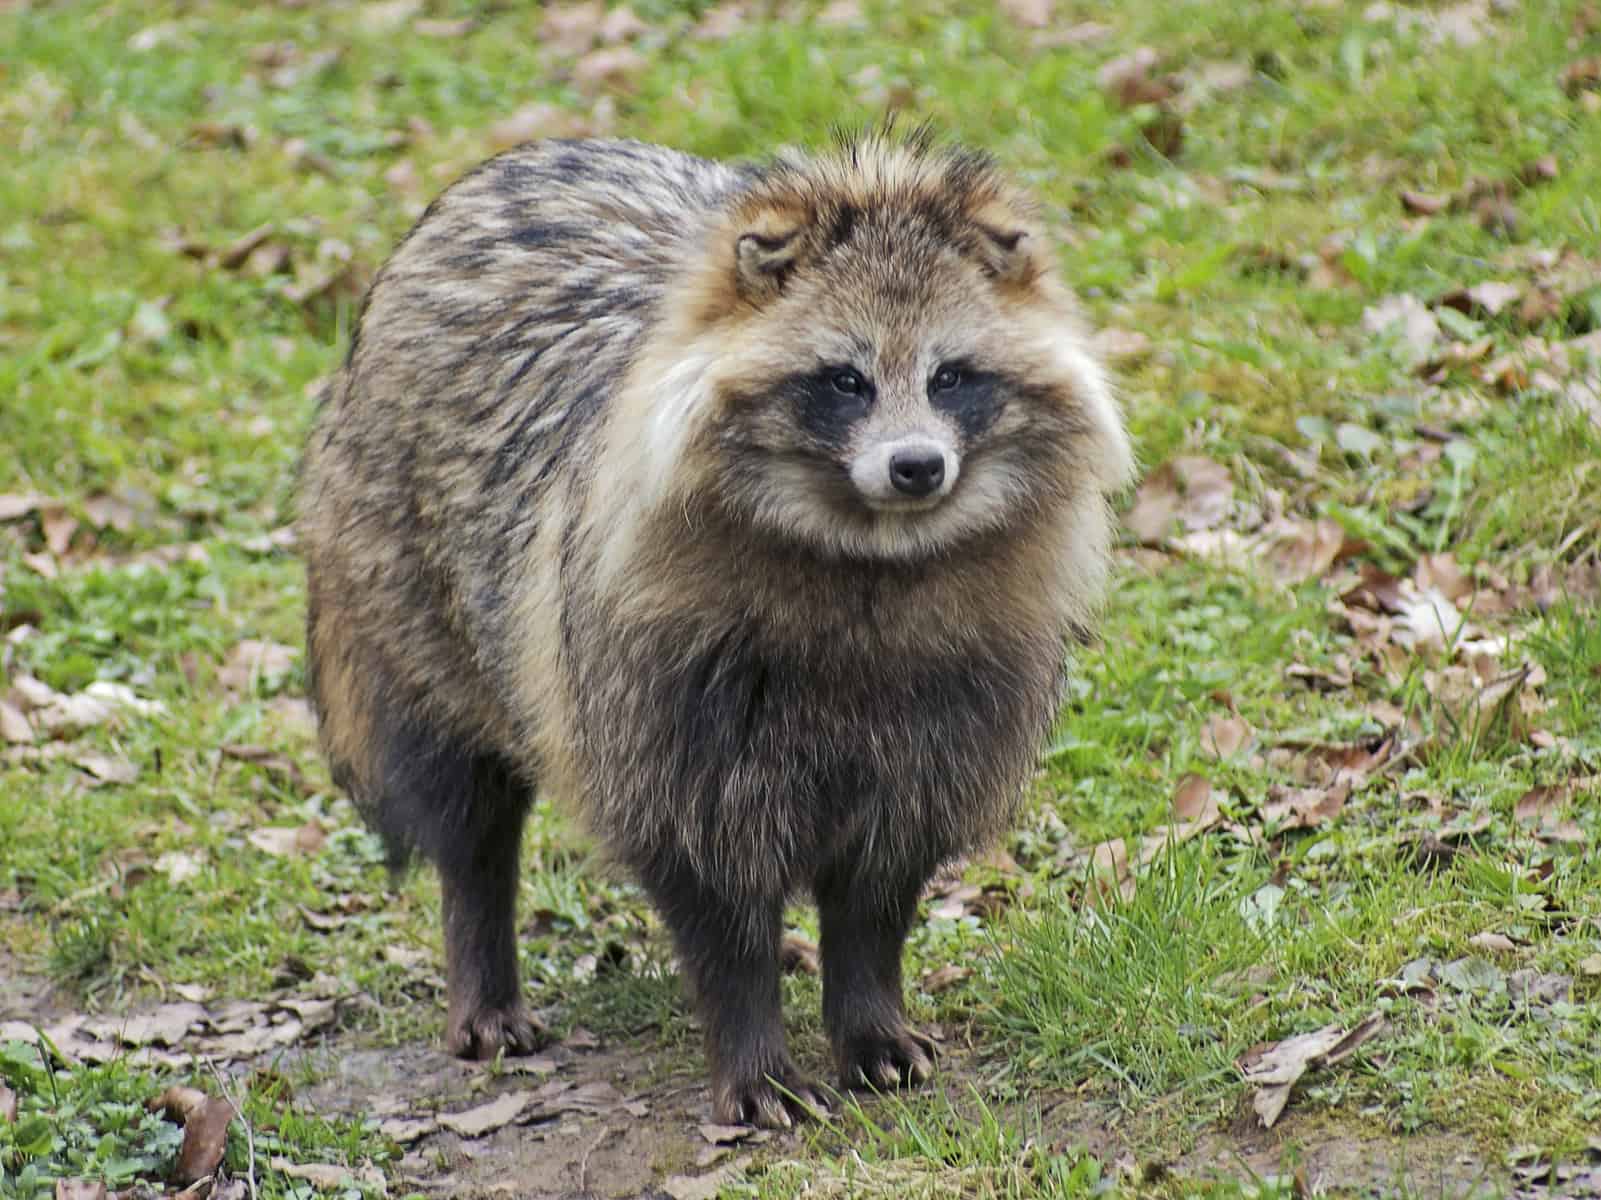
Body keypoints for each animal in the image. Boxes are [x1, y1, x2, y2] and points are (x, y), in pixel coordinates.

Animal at [297, 129, 1127, 1126]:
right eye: (844, 381)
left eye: (950, 376)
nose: (917, 467)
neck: (870, 551)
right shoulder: (657, 686)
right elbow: (709, 881)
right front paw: (752, 1045)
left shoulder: (955, 698)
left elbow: (879, 884)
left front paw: (868, 1012)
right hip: (406, 588)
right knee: (465, 805)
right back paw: (482, 953)